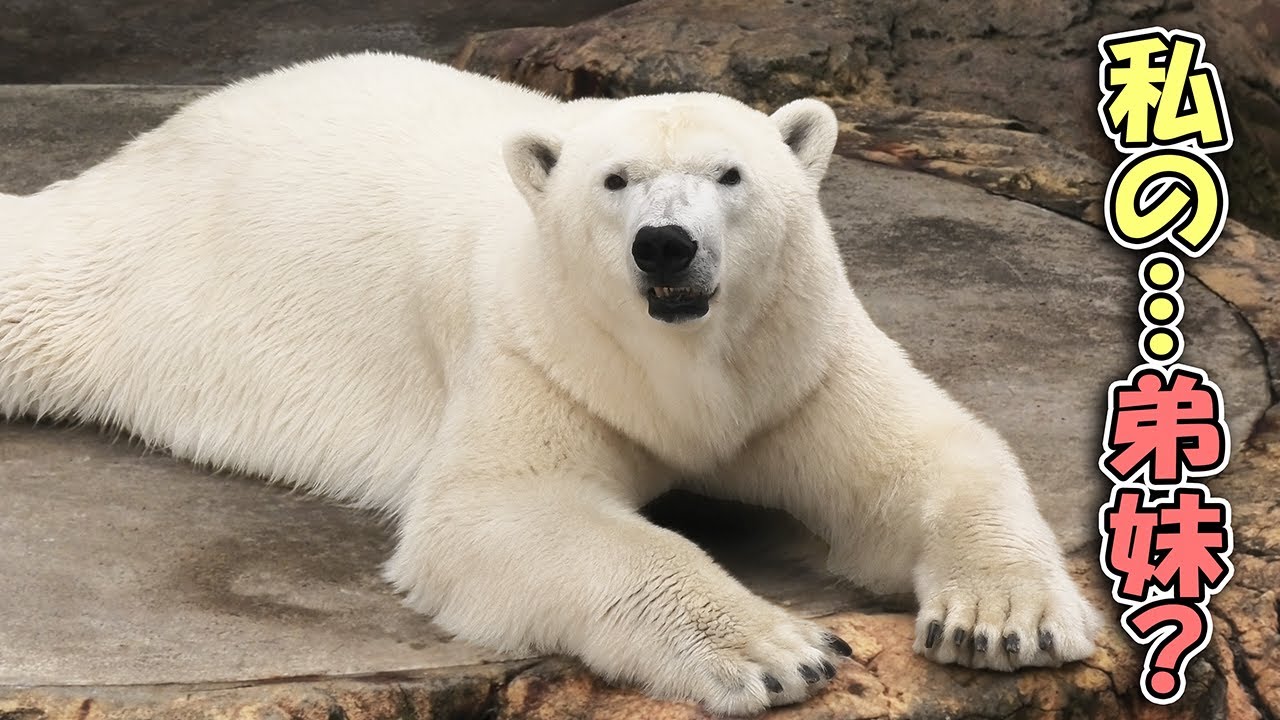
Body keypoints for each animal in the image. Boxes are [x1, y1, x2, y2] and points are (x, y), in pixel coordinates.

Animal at [0, 52, 1101, 715]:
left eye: (730, 174)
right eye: (614, 181)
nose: (665, 247)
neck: (682, 357)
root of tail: (171, 126)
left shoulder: (795, 356)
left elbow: (923, 457)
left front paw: (1000, 621)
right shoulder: (545, 350)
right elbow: (502, 512)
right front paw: (780, 649)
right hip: (135, 263)